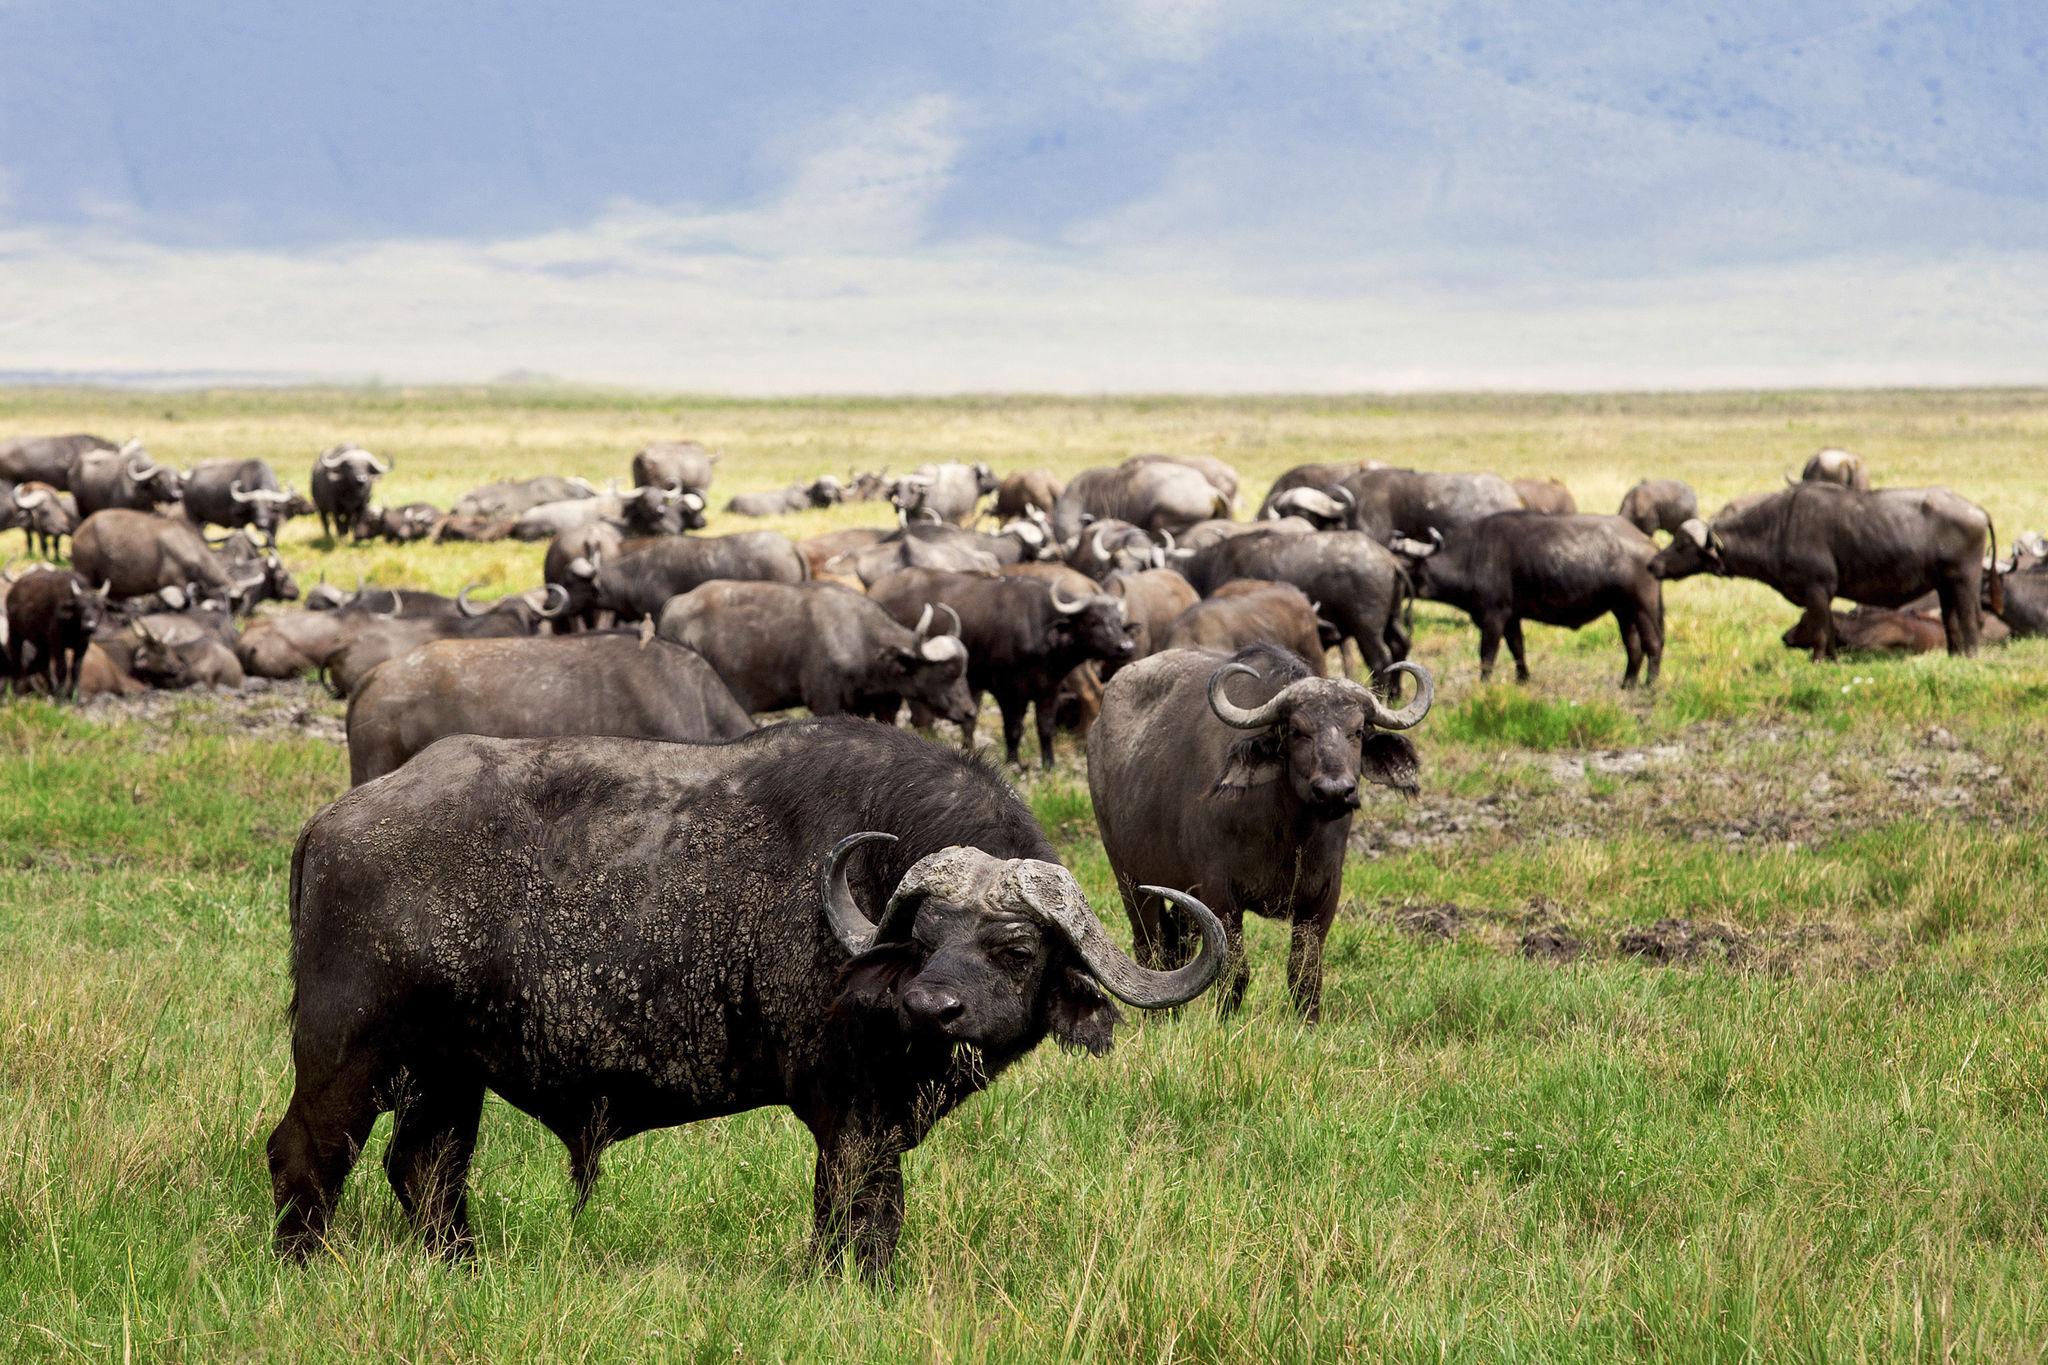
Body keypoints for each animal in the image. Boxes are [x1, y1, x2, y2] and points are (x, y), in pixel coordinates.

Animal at [270, 720, 1224, 1274]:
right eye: (922, 938)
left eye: (1015, 948)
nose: (932, 1008)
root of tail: (329, 822)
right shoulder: (852, 1114)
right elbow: (861, 1210)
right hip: (347, 1052)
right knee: (306, 1154)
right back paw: (300, 1269)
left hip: (447, 1071)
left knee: (425, 1167)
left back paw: (467, 1268)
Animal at [1089, 646, 1431, 1019]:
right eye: (1297, 730)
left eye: (1357, 731)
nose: (1335, 791)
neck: (1290, 834)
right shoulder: (1220, 894)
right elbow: (1233, 970)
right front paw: (1225, 1019)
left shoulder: (1324, 895)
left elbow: (1305, 971)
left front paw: (1307, 1022)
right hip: (1130, 879)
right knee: (1148, 946)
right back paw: (1158, 1016)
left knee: (1176, 945)